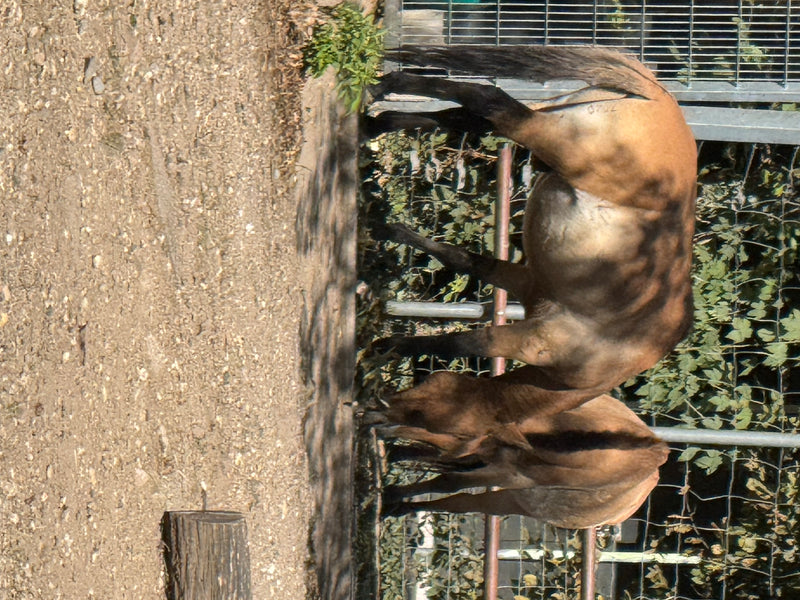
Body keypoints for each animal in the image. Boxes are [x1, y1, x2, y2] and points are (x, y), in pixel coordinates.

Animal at [368, 45, 696, 415]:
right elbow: (462, 342)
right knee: (488, 100)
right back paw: (385, 87)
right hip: (549, 132)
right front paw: (380, 348)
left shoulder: (525, 284)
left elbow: (462, 262)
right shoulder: (528, 337)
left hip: (550, 117)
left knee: (464, 116)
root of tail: (661, 97)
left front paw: (383, 230)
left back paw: (376, 118)